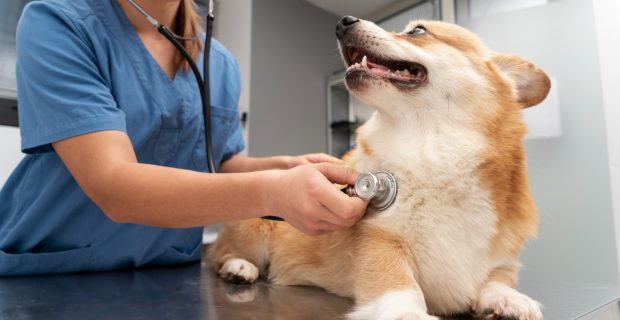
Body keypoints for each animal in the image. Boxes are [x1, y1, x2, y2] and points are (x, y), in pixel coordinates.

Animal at [211, 17, 548, 320]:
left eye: (417, 30)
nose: (342, 22)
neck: (434, 152)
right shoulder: (379, 240)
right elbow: (398, 283)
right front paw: (408, 313)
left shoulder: (503, 259)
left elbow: (498, 278)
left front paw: (510, 299)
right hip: (254, 225)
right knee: (219, 255)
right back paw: (239, 267)